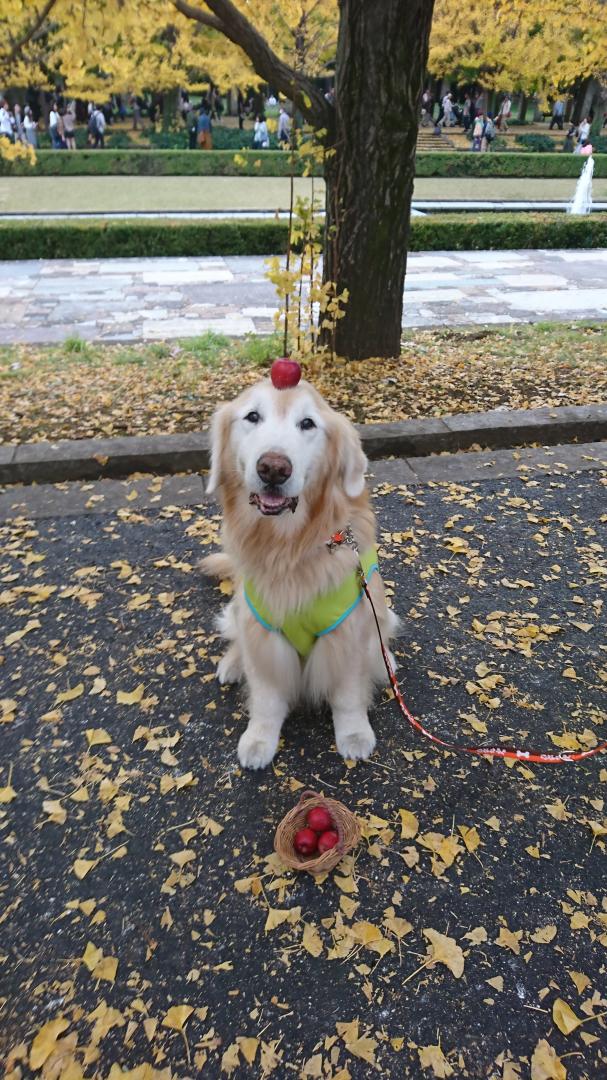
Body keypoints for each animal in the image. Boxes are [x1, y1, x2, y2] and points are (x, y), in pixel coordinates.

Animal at [200, 375, 397, 773]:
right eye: (252, 416)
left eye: (307, 424)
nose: (274, 468)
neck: (288, 546)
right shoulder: (262, 630)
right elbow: (266, 695)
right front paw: (260, 738)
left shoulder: (349, 629)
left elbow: (348, 694)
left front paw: (354, 734)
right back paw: (232, 663)